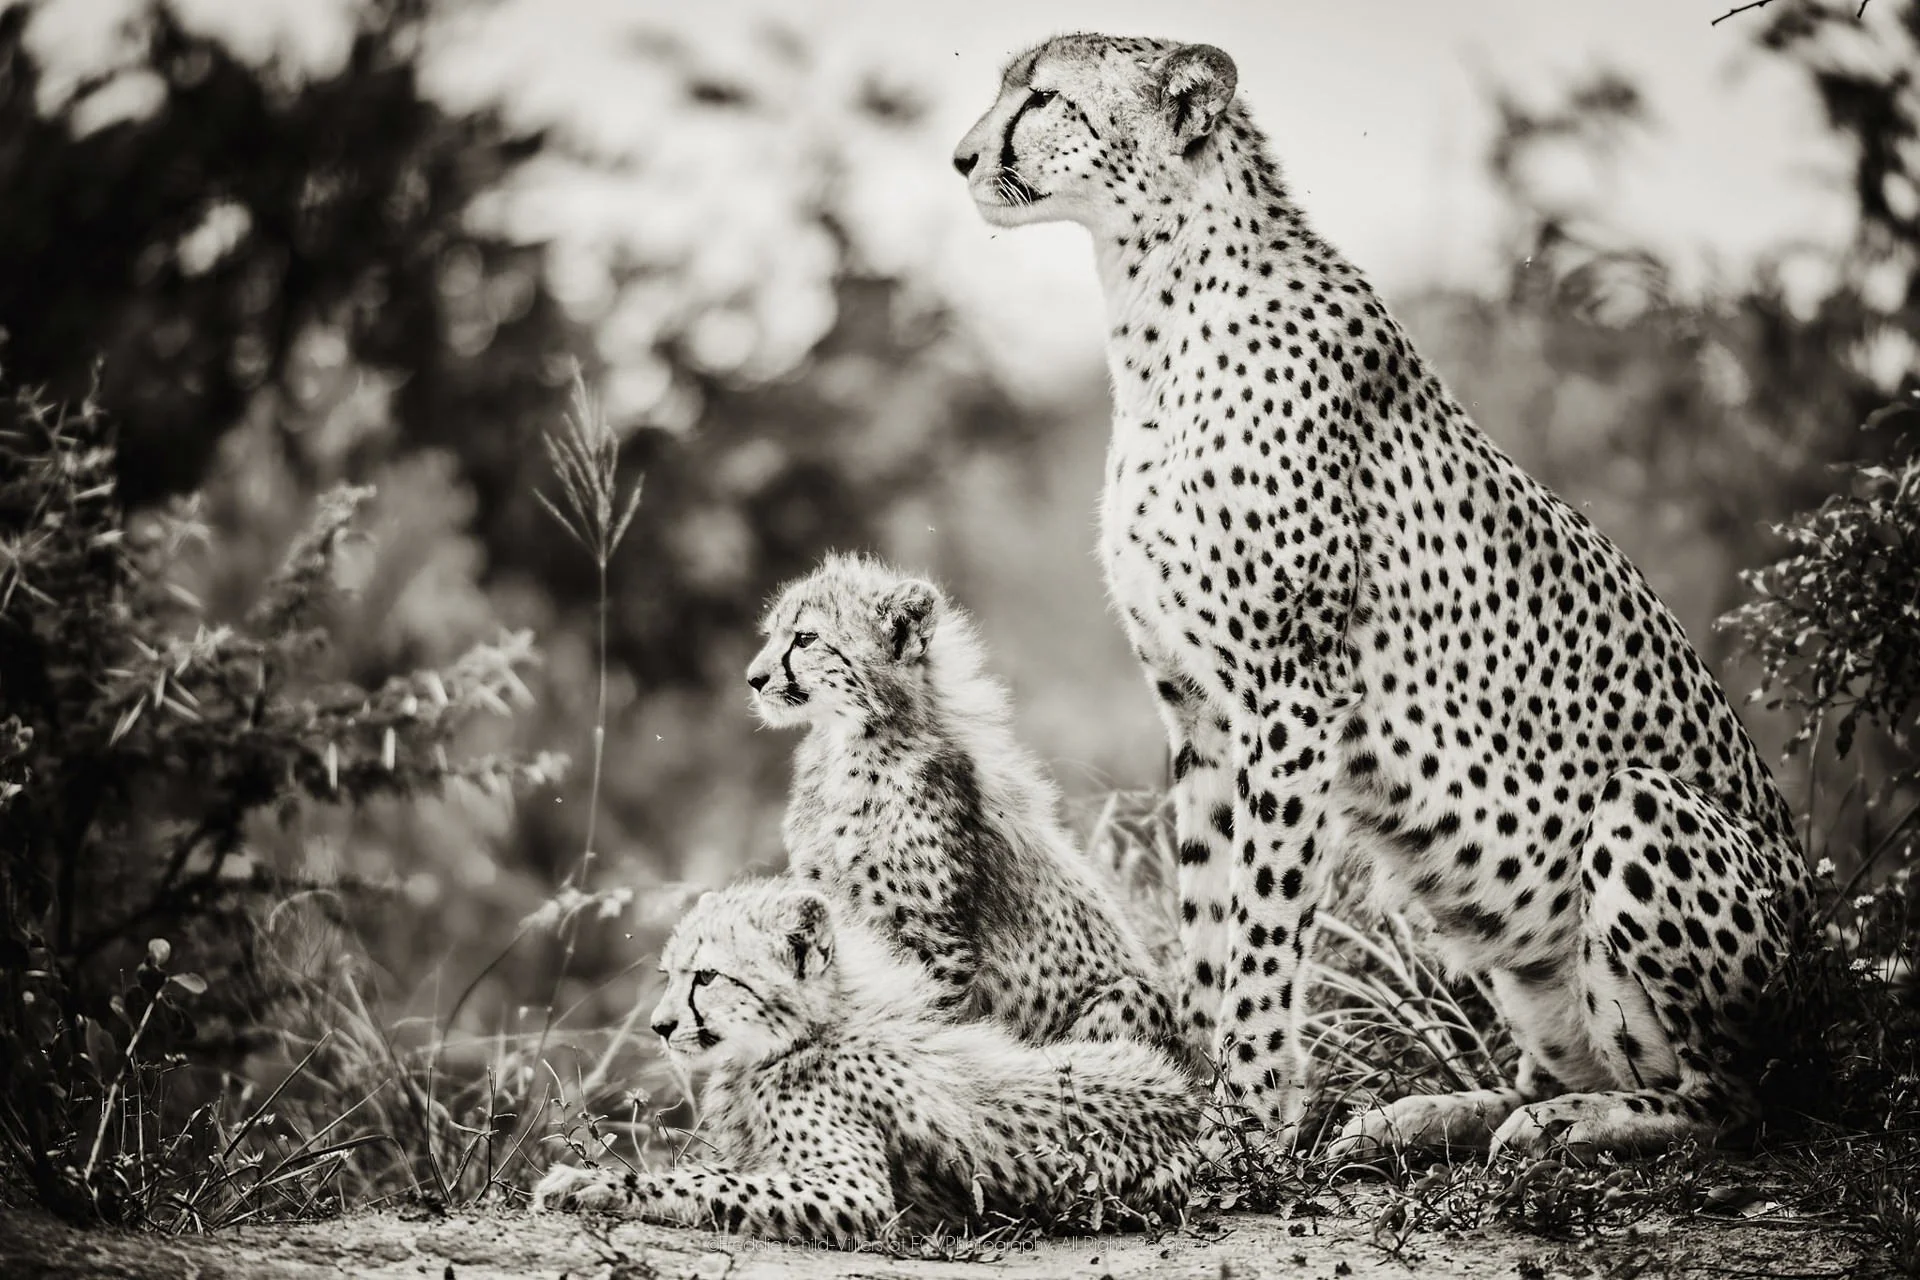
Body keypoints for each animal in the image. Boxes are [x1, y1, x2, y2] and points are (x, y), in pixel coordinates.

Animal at [531, 879, 1200, 1246]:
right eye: (669, 976)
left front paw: (590, 1183)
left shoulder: (855, 1191)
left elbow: (709, 1180)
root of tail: (1187, 1101)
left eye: (707, 977)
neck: (802, 1036)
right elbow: (714, 1171)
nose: (661, 1026)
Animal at [745, 552, 1194, 1070]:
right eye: (771, 635)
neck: (847, 749)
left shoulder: (936, 943)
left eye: (805, 638)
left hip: (1129, 996)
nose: (753, 679)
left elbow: (929, 1023)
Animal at [952, 33, 1814, 1159]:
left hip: (1645, 815)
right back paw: (1429, 1114)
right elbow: (1207, 910)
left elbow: (1264, 921)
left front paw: (1246, 1115)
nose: (963, 158)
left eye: (1044, 96)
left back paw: (1572, 1123)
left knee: (1731, 1100)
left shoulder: (1291, 692)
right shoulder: (1199, 708)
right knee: (1555, 1064)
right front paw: (1202, 1096)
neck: (1157, 305)